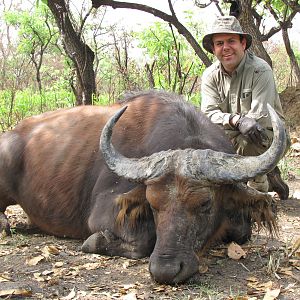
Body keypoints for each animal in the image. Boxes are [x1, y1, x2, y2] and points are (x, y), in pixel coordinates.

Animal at [0, 89, 286, 284]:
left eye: (205, 203)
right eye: (152, 203)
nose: (165, 270)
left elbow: (242, 231)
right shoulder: (104, 214)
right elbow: (144, 239)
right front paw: (95, 241)